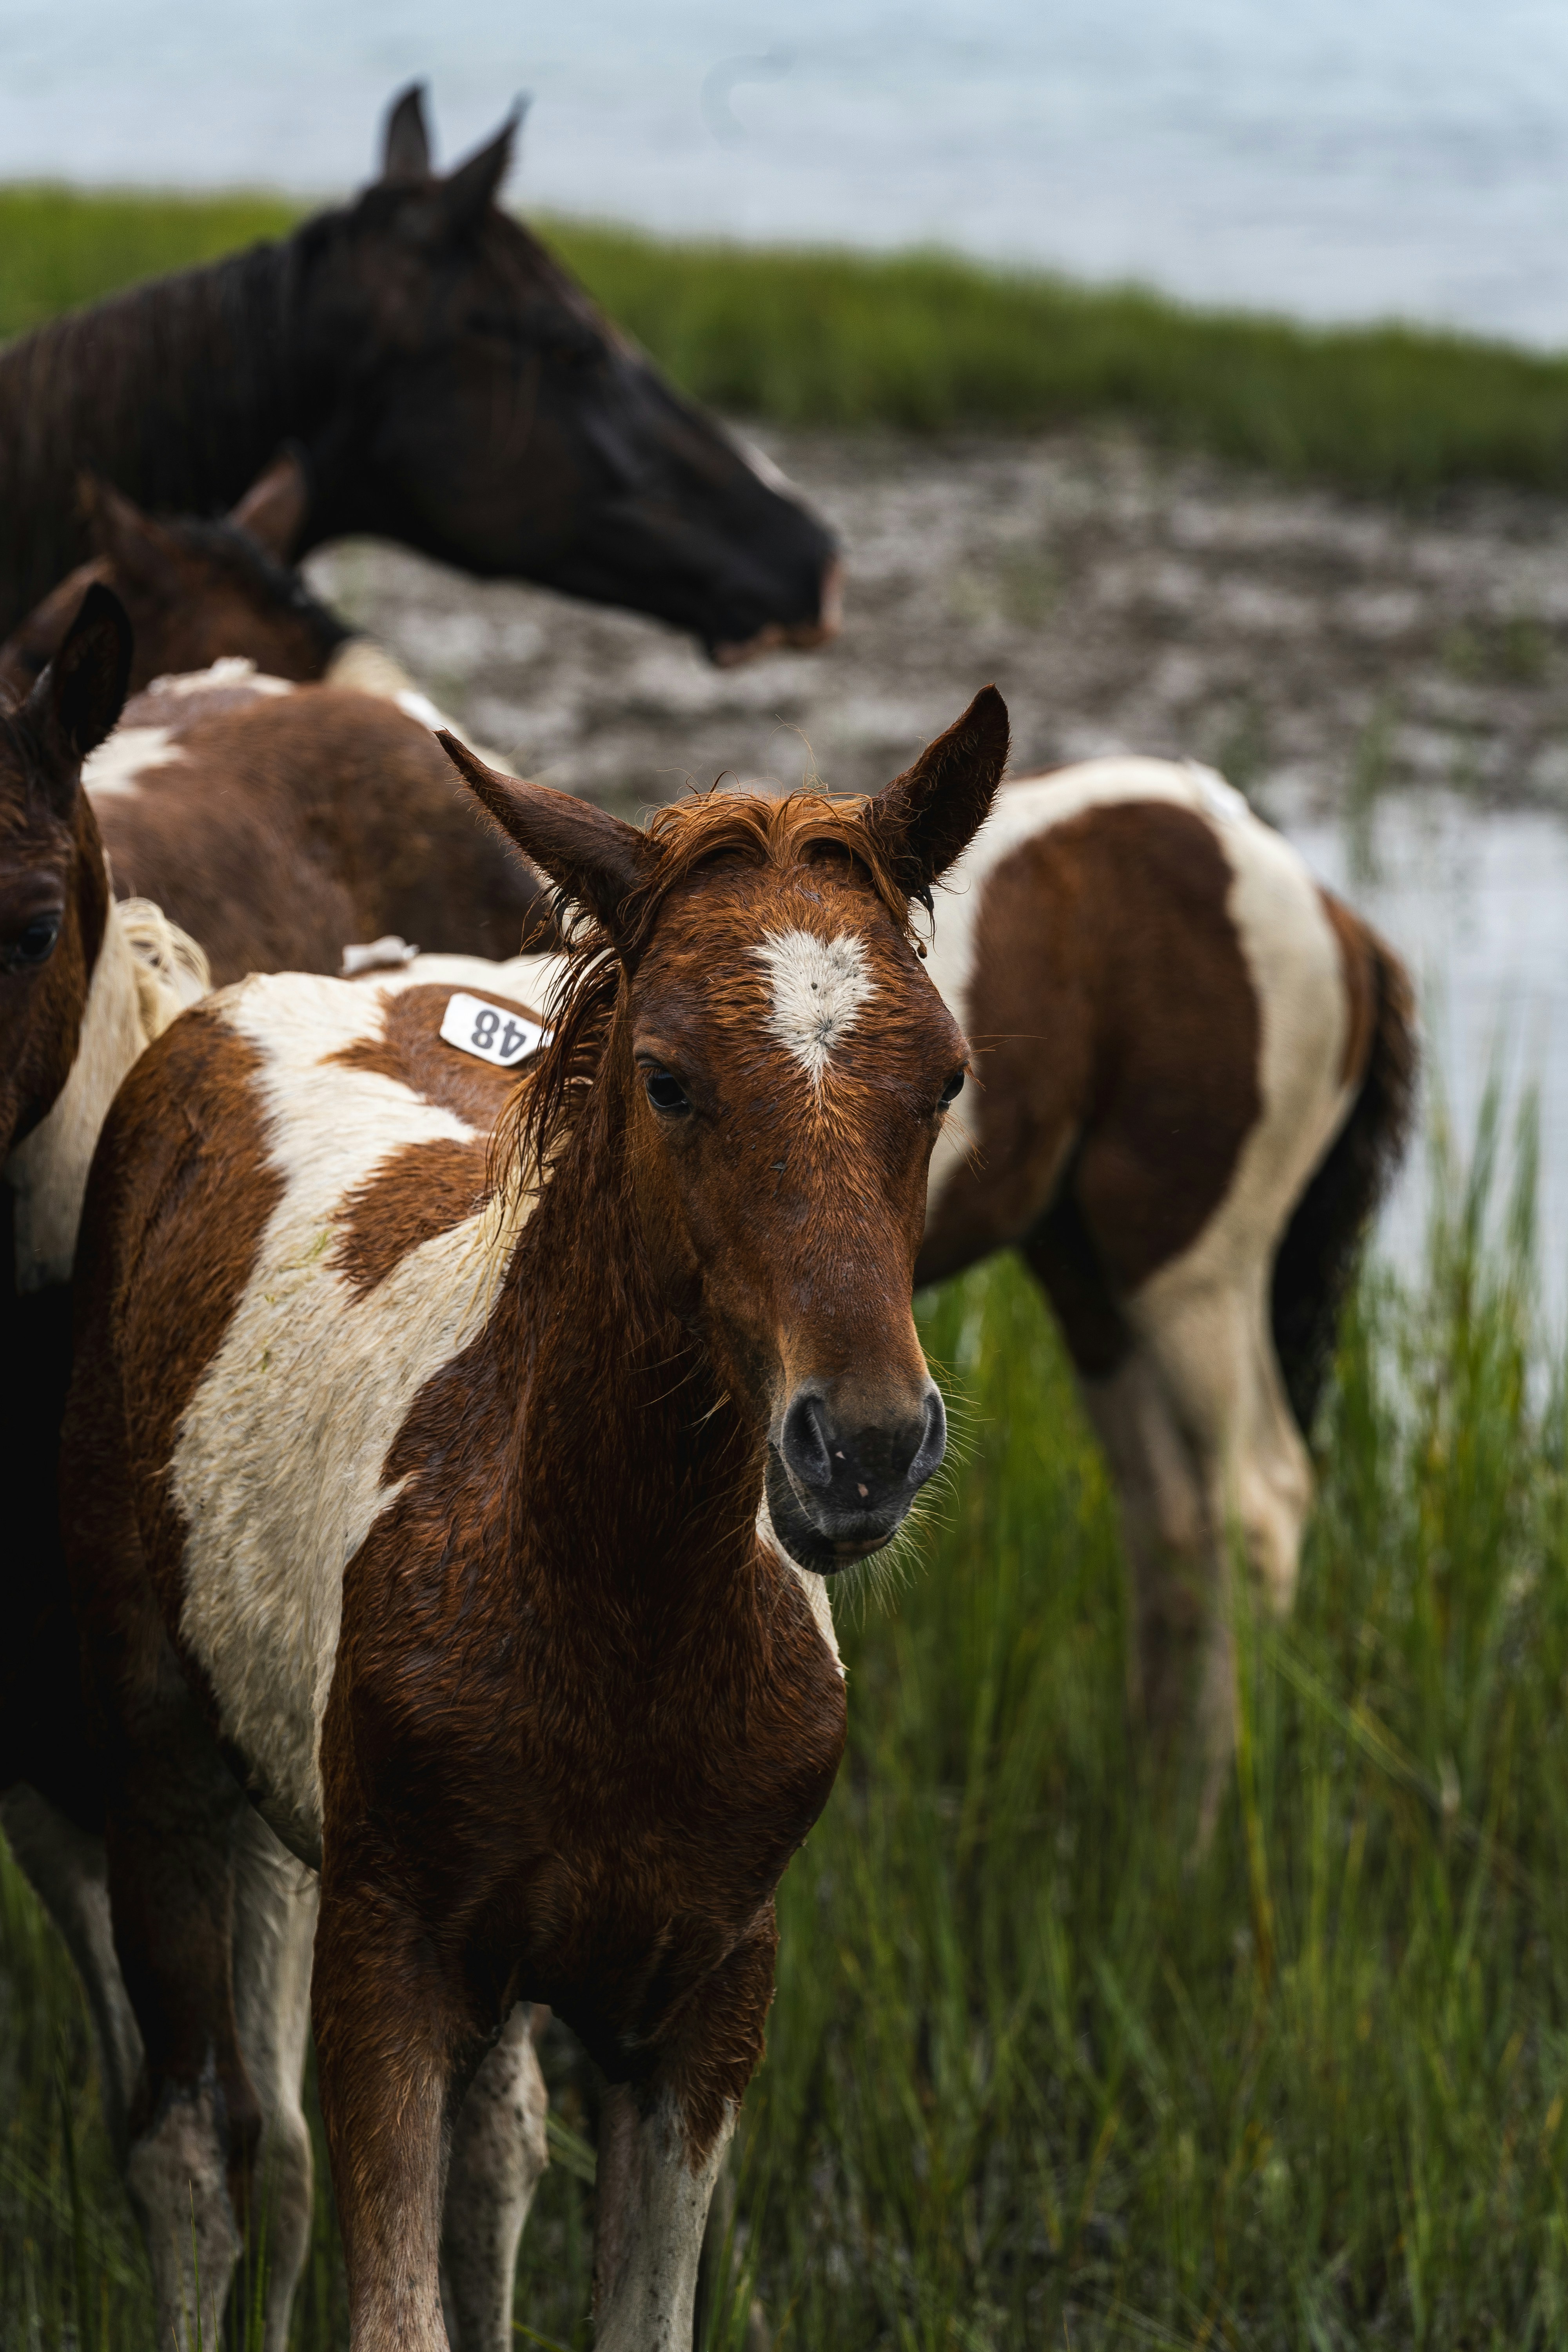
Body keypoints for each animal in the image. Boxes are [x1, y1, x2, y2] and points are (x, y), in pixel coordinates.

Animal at [59, 691, 1009, 2351]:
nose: (865, 1451)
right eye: (670, 1076)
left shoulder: (704, 1993)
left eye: (945, 1078)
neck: (617, 1604)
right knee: (185, 2165)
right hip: (169, 1779)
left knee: (492, 2156)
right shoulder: (388, 1965)